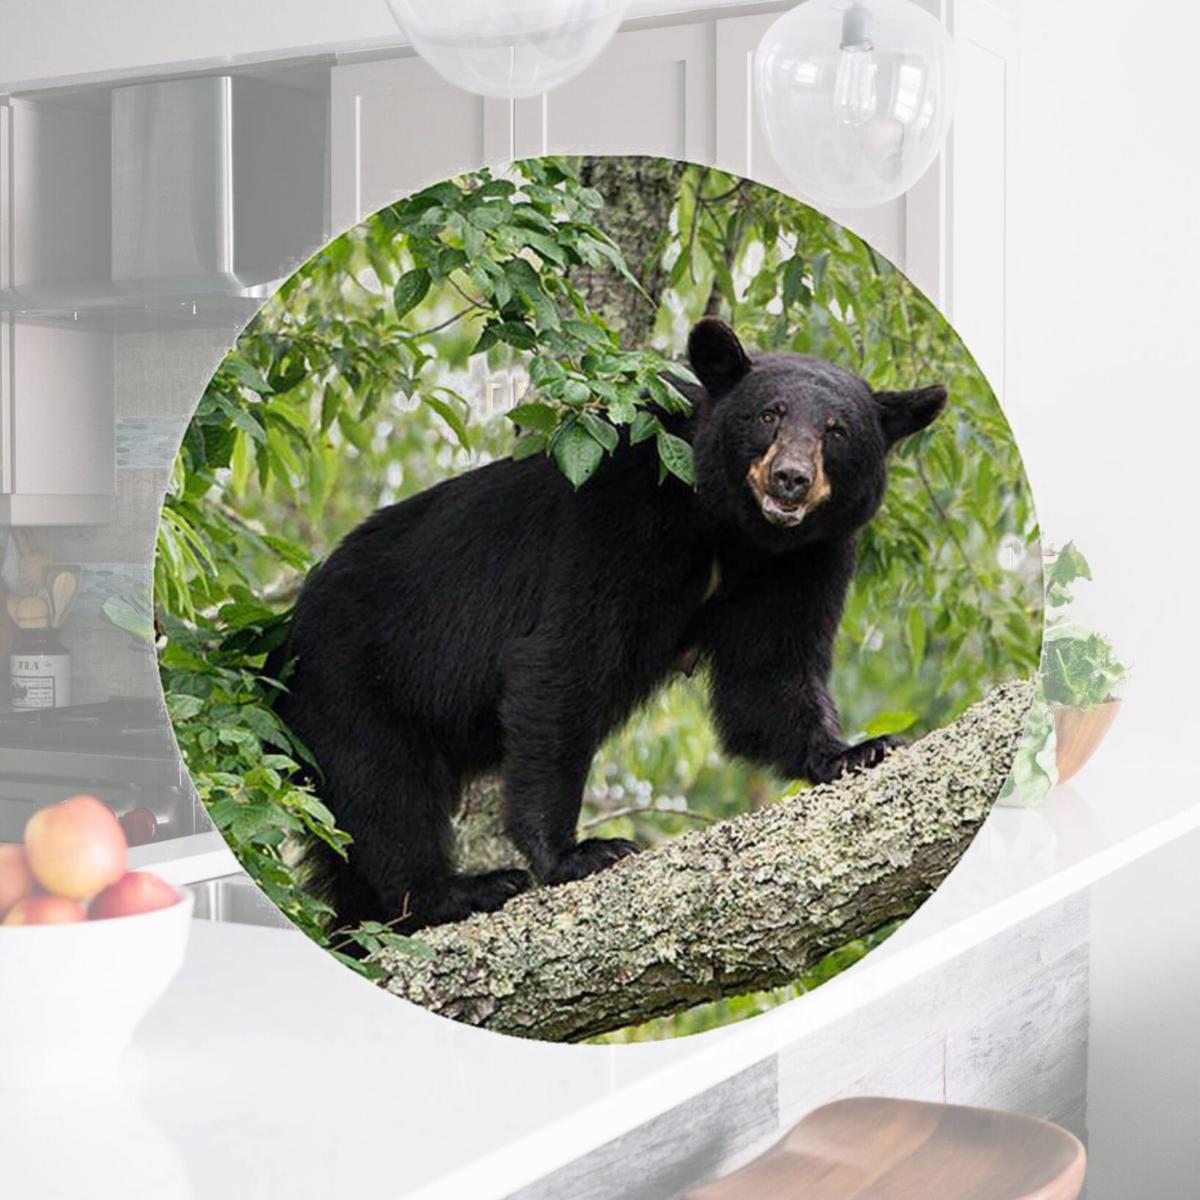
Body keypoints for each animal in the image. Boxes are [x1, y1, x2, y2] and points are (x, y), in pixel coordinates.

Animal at [276, 318, 946, 930]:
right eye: (769, 416)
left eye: (837, 431)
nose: (791, 480)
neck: (730, 528)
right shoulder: (620, 513)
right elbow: (566, 657)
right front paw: (574, 853)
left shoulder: (805, 559)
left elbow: (767, 677)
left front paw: (856, 750)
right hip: (352, 677)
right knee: (385, 789)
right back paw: (457, 890)